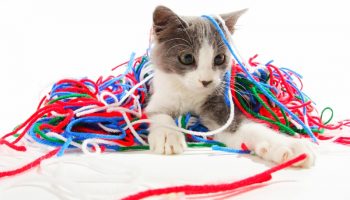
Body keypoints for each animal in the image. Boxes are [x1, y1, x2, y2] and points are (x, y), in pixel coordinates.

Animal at [146, 5, 316, 167]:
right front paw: (168, 135)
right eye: (187, 58)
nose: (206, 81)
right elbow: (158, 114)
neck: (190, 92)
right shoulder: (160, 96)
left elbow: (241, 127)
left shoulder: (219, 99)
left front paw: (289, 145)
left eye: (219, 58)